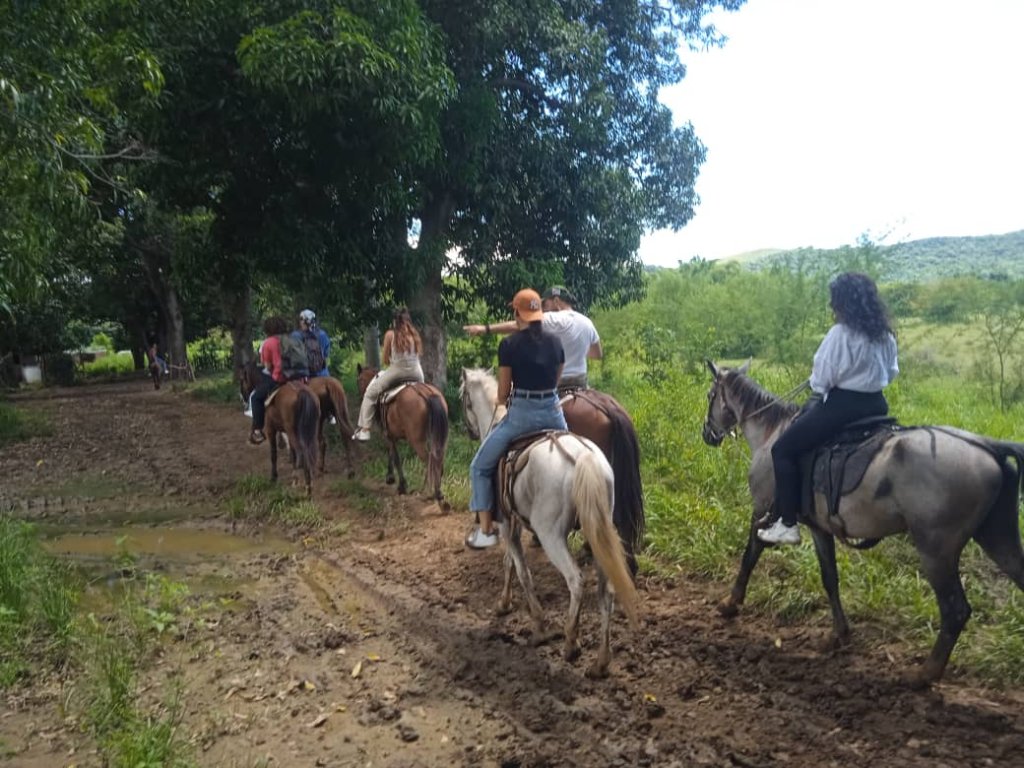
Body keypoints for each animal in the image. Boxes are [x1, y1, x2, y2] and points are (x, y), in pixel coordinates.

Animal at [239, 362, 319, 495]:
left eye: (242, 380)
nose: (243, 398)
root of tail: (302, 392)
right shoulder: (287, 433)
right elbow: (292, 454)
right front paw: (294, 478)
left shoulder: (271, 429)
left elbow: (273, 454)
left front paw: (273, 477)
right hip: (309, 432)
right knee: (307, 452)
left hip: (293, 432)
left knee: (302, 454)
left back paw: (307, 487)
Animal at [358, 366, 450, 512]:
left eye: (359, 380)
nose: (361, 395)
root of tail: (427, 394)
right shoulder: (391, 435)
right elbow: (392, 453)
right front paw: (391, 478)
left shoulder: (388, 435)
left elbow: (395, 456)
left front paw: (400, 485)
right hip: (440, 439)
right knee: (438, 460)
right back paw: (436, 494)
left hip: (417, 441)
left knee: (430, 461)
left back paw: (436, 495)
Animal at [458, 370, 634, 675]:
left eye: (462, 397)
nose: (468, 430)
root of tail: (583, 459)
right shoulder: (513, 521)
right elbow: (510, 562)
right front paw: (504, 603)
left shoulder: (505, 523)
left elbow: (521, 570)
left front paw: (539, 626)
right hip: (600, 532)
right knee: (606, 591)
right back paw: (601, 660)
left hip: (552, 535)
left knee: (576, 580)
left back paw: (571, 643)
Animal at [700, 364, 1024, 688]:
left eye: (710, 395)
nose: (707, 434)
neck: (771, 432)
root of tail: (988, 447)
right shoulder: (820, 528)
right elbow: (830, 578)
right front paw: (838, 634)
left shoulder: (763, 511)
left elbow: (750, 555)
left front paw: (730, 604)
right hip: (998, 539)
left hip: (936, 552)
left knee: (955, 610)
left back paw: (923, 674)